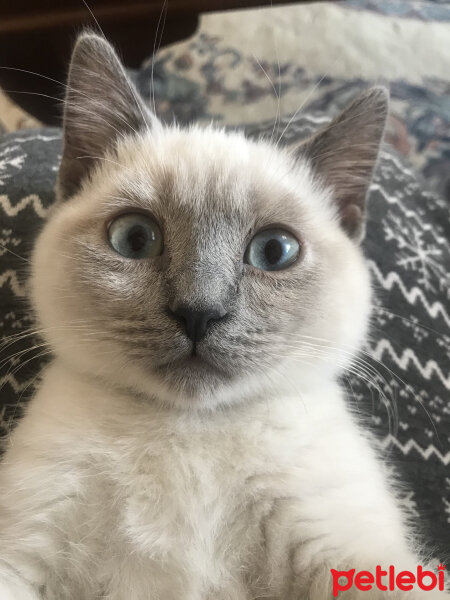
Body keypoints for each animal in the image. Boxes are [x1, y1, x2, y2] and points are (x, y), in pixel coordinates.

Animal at [0, 31, 446, 600]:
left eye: (274, 251)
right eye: (135, 239)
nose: (199, 312)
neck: (188, 431)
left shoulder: (349, 554)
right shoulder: (22, 553)